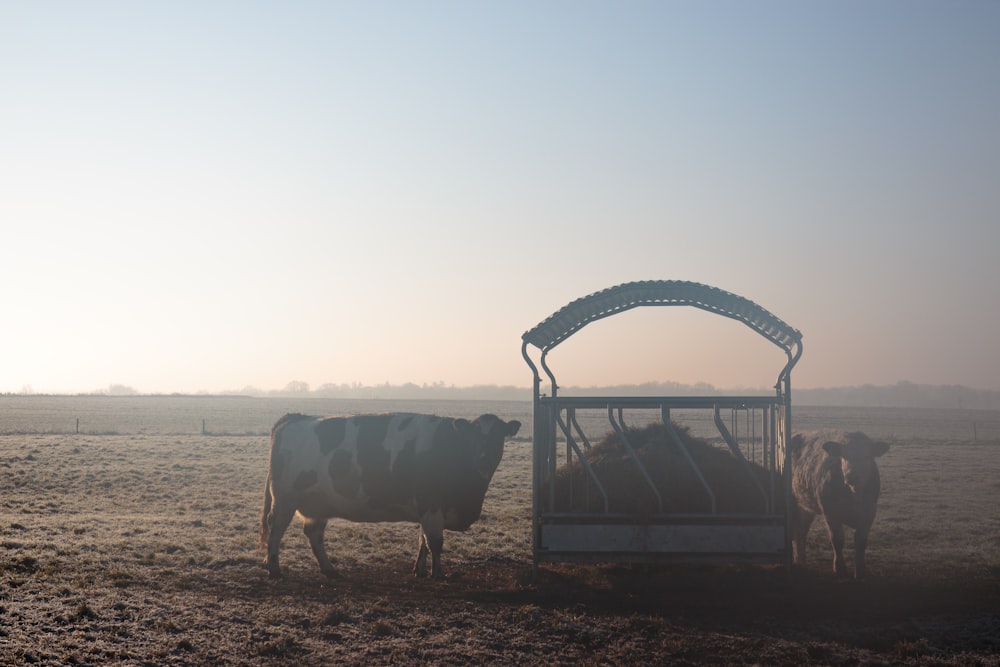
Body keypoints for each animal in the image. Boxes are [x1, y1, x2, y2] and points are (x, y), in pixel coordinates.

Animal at [258, 412, 524, 580]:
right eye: (474, 435)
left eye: (499, 435)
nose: (484, 458)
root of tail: (294, 417)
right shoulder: (432, 506)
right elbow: (435, 543)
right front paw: (438, 574)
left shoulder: (427, 510)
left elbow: (422, 542)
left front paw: (419, 570)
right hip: (285, 499)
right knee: (276, 529)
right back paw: (274, 568)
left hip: (318, 503)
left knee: (313, 534)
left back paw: (328, 568)